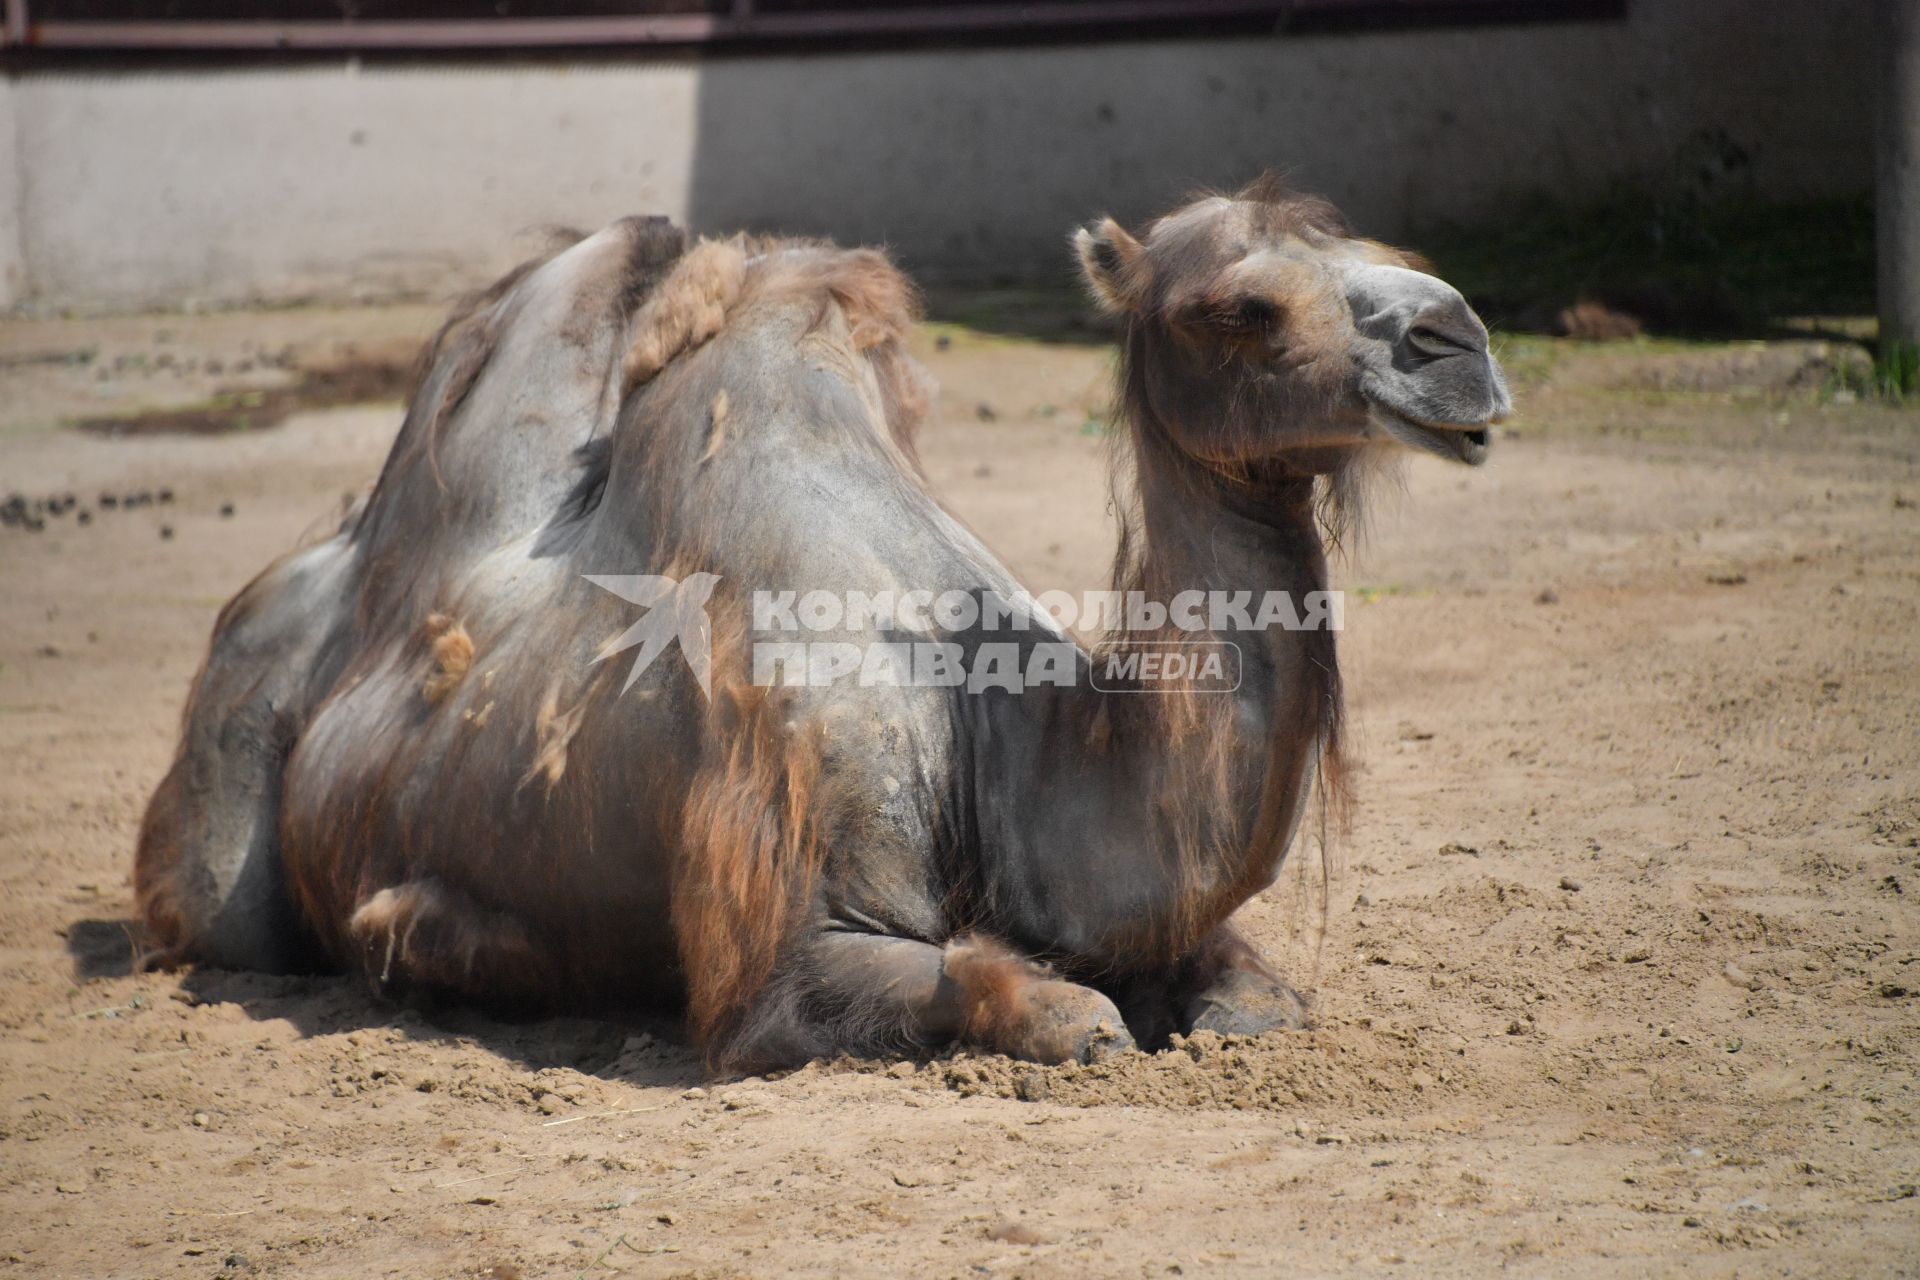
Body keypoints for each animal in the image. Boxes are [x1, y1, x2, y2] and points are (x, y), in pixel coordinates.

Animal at [135, 180, 1512, 1074]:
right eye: (1237, 307)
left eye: (1385, 249)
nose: (1460, 342)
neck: (1006, 729)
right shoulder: (792, 922)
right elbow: (1032, 1002)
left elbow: (1248, 991)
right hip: (223, 825)